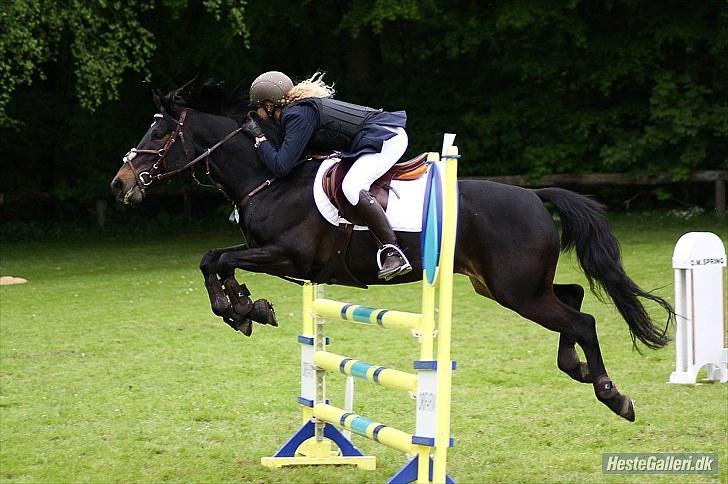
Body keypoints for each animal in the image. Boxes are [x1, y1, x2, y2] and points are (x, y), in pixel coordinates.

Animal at [110, 84, 674, 422]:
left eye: (157, 131)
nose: (119, 185)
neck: (269, 177)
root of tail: (535, 195)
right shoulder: (268, 254)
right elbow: (214, 259)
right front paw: (246, 308)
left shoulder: (290, 256)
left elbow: (219, 259)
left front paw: (243, 308)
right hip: (505, 285)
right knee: (574, 296)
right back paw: (576, 368)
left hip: (517, 290)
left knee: (582, 321)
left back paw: (611, 393)